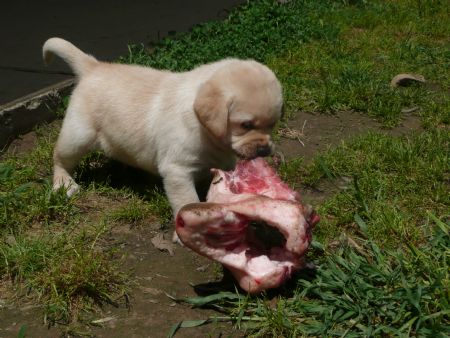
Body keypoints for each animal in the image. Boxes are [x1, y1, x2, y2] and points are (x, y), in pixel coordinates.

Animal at [42, 37, 282, 240]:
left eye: (273, 124)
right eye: (246, 125)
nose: (264, 150)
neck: (206, 131)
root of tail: (93, 66)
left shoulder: (223, 163)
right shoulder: (177, 171)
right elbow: (187, 201)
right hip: (78, 135)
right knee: (60, 158)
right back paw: (64, 183)